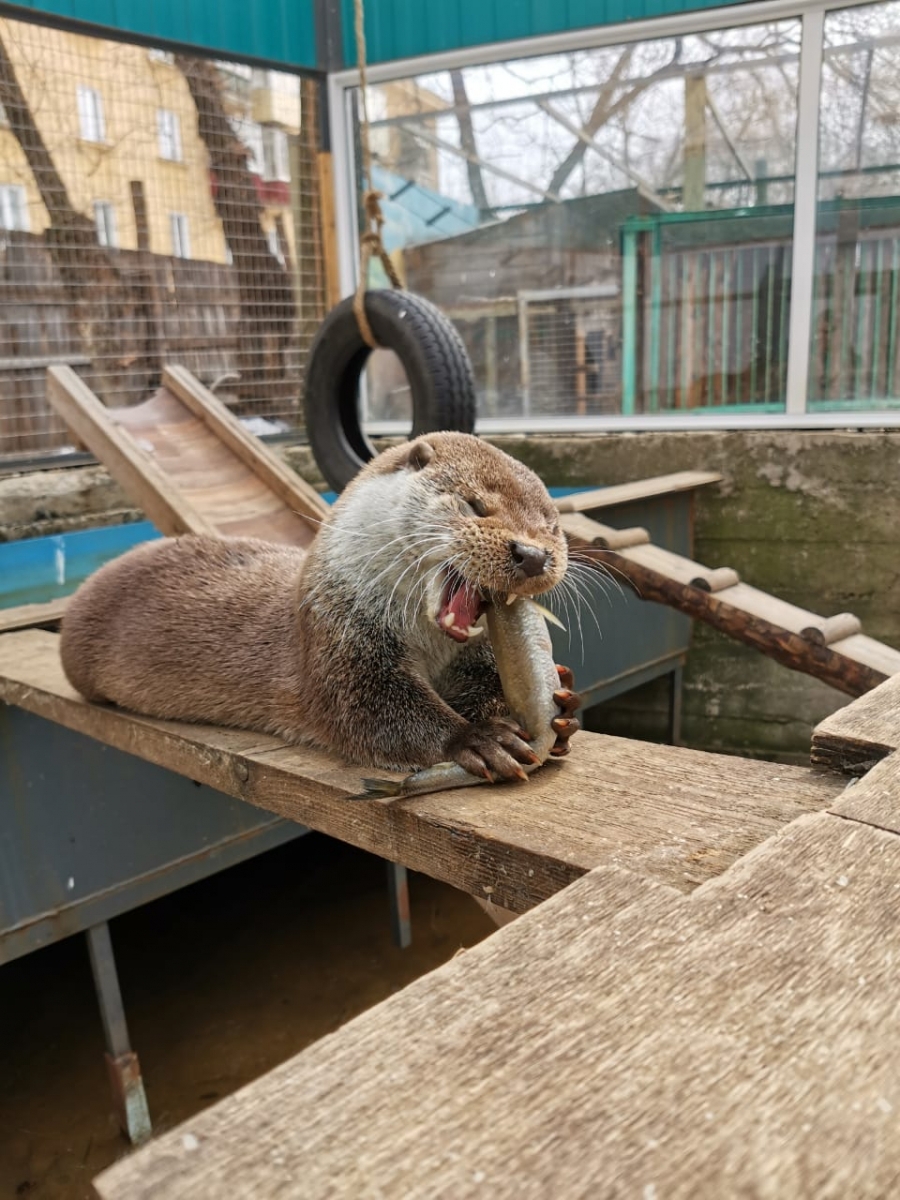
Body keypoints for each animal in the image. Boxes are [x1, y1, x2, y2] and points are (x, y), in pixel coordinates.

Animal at [61, 432, 578, 777]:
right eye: (474, 505)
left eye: (552, 526)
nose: (533, 554)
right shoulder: (340, 641)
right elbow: (372, 712)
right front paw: (480, 738)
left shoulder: (474, 654)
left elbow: (487, 685)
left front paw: (562, 705)